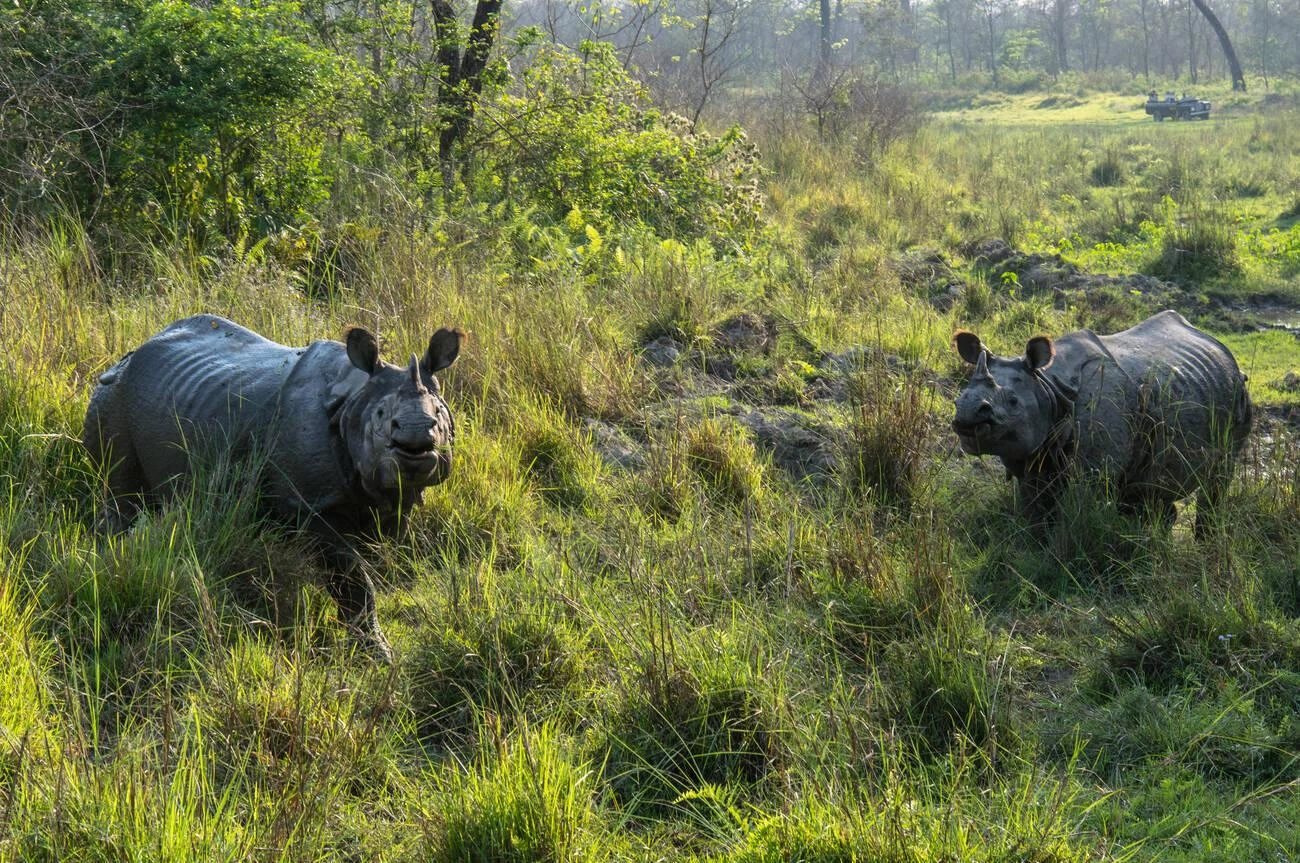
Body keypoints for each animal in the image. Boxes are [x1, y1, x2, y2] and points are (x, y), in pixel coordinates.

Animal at [83, 314, 463, 659]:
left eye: (439, 414)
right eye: (383, 416)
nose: (416, 439)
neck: (355, 402)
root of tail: (125, 356)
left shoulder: (385, 501)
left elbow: (366, 572)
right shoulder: (312, 506)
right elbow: (355, 580)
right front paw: (377, 655)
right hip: (111, 396)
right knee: (124, 497)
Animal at [951, 310, 1251, 531]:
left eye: (1013, 401)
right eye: (959, 397)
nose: (967, 415)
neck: (1049, 387)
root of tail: (1221, 348)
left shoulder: (1094, 471)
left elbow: (1077, 515)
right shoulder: (1033, 456)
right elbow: (1033, 509)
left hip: (1238, 392)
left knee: (1217, 478)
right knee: (1149, 488)